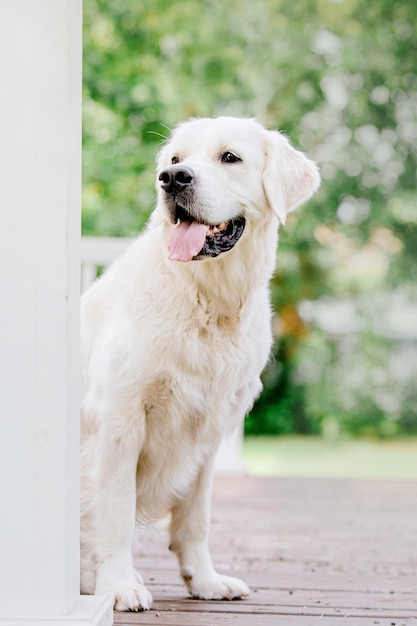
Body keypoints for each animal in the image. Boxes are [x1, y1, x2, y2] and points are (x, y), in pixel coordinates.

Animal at [79, 114, 320, 608]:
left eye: (230, 157)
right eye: (175, 158)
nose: (173, 179)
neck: (207, 299)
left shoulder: (208, 429)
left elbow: (196, 518)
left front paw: (205, 581)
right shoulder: (117, 419)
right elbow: (114, 512)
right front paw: (119, 585)